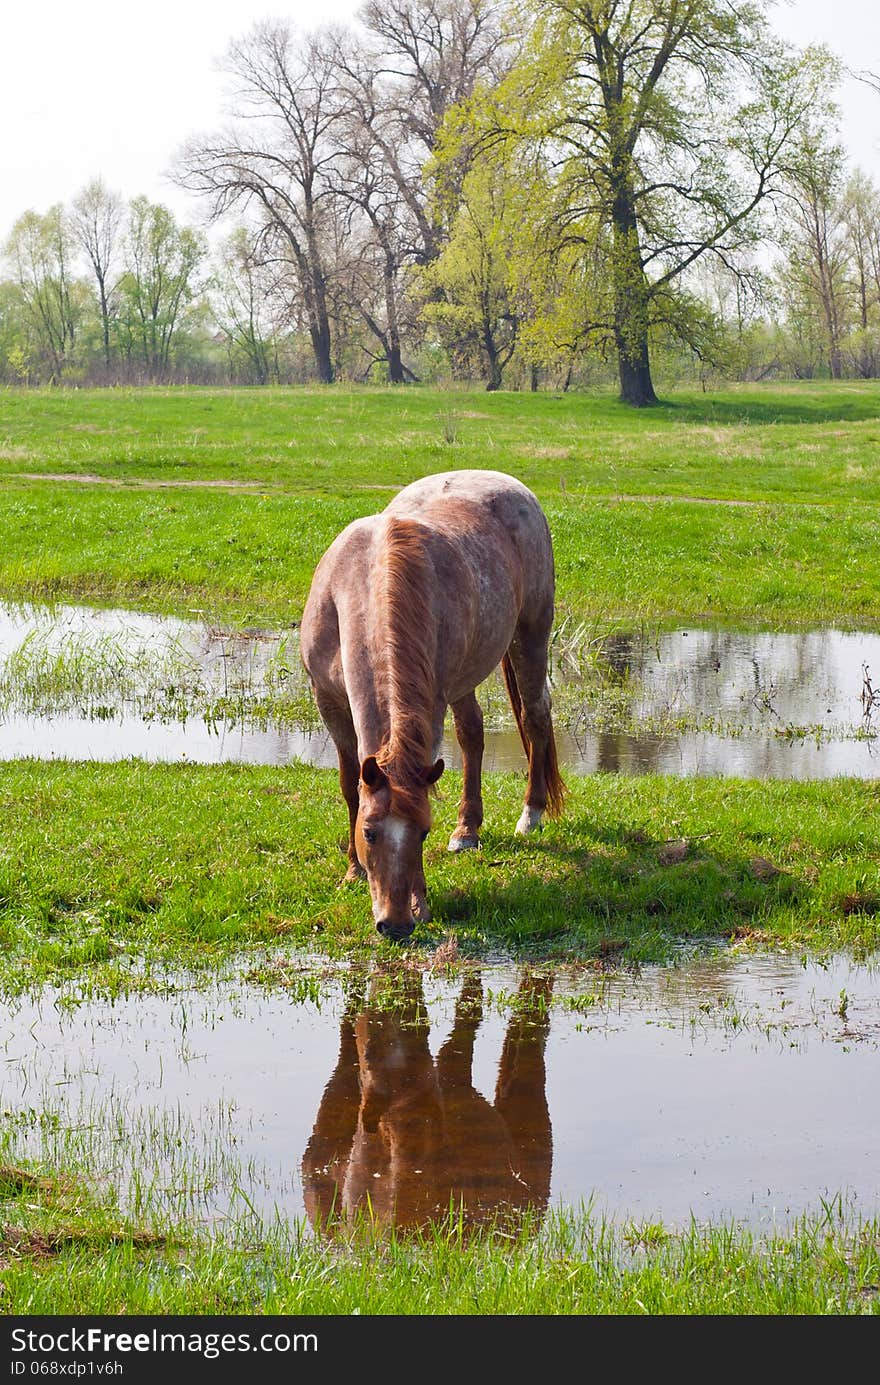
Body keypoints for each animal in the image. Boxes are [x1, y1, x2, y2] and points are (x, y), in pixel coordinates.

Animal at [300, 468, 565, 941]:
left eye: (423, 833)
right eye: (369, 833)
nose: (395, 924)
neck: (366, 578)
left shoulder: (431, 705)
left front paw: (420, 902)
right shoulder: (328, 701)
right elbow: (350, 785)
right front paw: (352, 871)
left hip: (530, 634)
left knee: (535, 718)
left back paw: (530, 814)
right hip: (465, 680)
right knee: (473, 734)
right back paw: (467, 830)